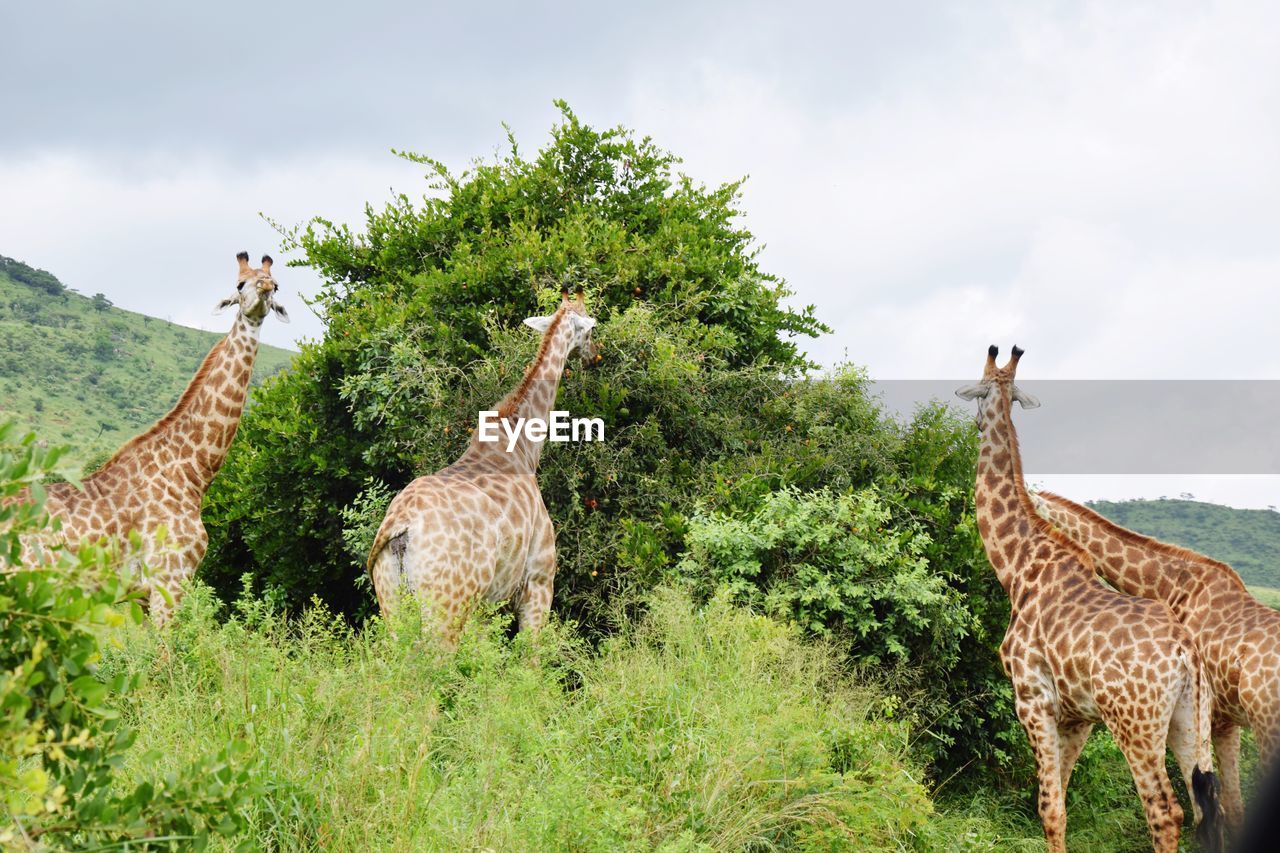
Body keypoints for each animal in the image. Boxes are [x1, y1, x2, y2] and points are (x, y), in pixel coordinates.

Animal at [16, 249, 288, 622]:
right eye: (240, 284)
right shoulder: (169, 578)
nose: (263, 290)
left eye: (275, 284)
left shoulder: (145, 595)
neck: (192, 471)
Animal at [363, 285, 596, 645]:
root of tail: (400, 527)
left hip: (392, 603)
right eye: (591, 328)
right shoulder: (538, 582)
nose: (594, 356)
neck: (522, 447)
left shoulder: (488, 605)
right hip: (448, 604)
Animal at [957, 345, 1223, 850]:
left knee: (1166, 812)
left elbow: (1049, 807)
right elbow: (1057, 800)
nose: (973, 425)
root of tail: (1185, 653)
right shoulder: (1078, 716)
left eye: (977, 394)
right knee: (1208, 809)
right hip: (1190, 721)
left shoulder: (1032, 698)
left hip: (1135, 724)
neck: (1018, 567)